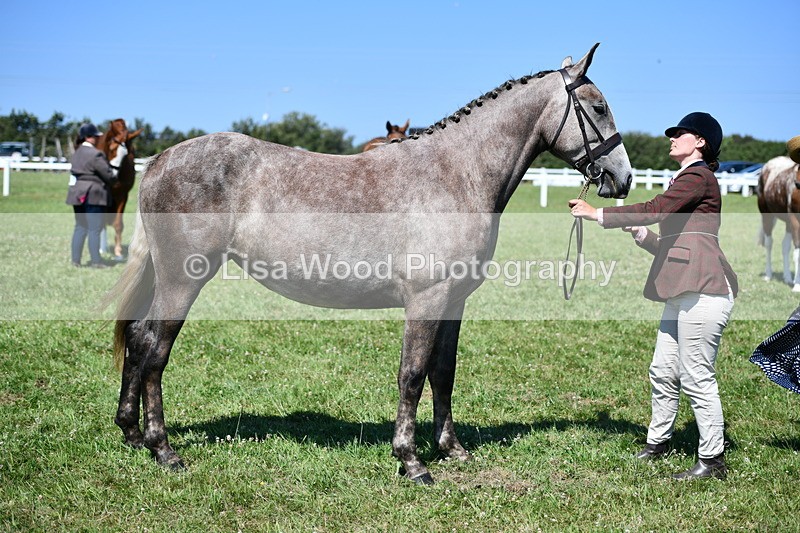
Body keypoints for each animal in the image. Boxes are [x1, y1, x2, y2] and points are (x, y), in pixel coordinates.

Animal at [97, 119, 143, 259]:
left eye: (126, 155)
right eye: (111, 149)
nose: (112, 175)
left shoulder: (123, 195)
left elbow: (118, 224)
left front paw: (118, 252)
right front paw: (102, 250)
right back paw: (103, 248)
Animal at [104, 44, 632, 485]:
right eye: (598, 108)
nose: (623, 179)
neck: (456, 174)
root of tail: (161, 160)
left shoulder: (453, 301)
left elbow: (444, 372)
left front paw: (452, 449)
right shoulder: (426, 300)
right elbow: (412, 374)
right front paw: (411, 460)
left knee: (137, 340)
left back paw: (131, 434)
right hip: (183, 280)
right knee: (154, 350)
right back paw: (164, 450)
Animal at [757, 155, 800, 291]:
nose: (797, 183)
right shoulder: (795, 219)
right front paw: (797, 286)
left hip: (788, 223)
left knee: (785, 245)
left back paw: (788, 278)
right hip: (767, 216)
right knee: (769, 244)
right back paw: (768, 275)